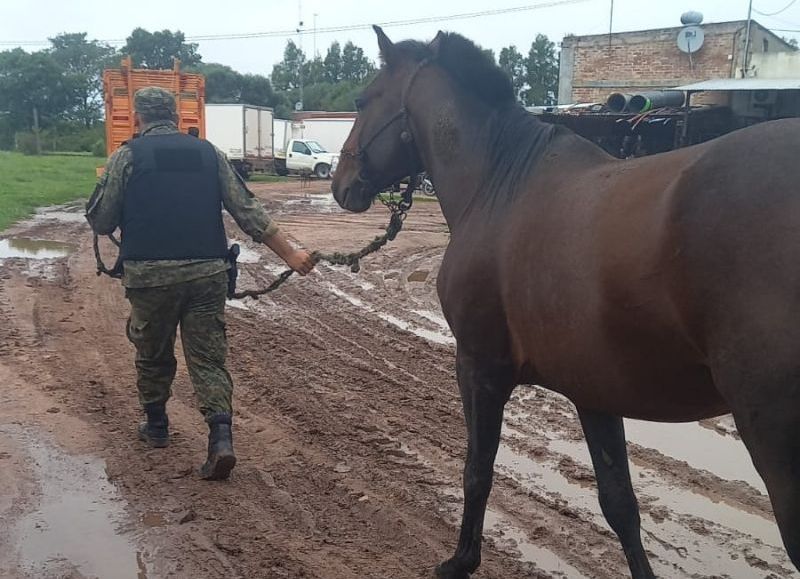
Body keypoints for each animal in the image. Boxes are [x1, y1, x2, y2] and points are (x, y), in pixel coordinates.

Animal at [332, 26, 800, 579]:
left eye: (363, 100)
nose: (341, 184)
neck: (500, 182)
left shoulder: (479, 369)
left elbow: (477, 470)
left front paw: (461, 560)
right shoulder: (594, 390)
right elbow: (620, 505)